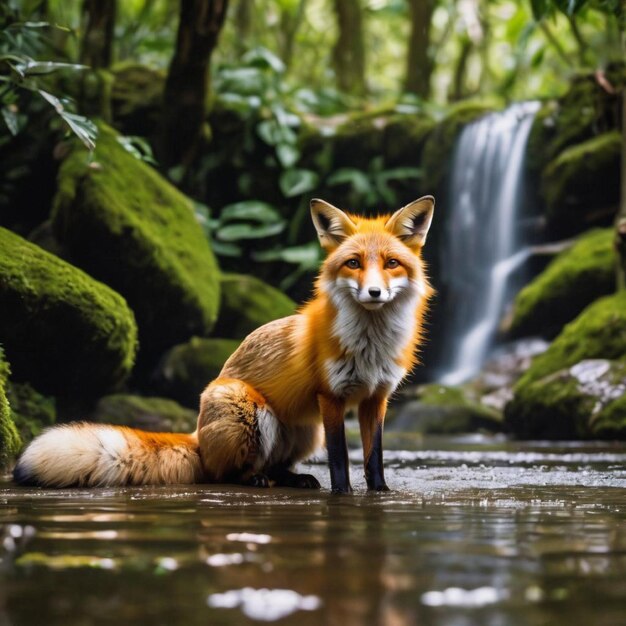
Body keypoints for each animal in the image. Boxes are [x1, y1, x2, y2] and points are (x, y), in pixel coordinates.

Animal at [13, 195, 434, 492]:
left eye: (391, 263)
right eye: (353, 264)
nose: (375, 293)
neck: (371, 347)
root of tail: (197, 435)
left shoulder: (376, 397)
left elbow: (374, 455)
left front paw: (380, 492)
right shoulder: (331, 396)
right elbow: (340, 458)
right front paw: (343, 495)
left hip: (303, 429)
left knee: (276, 465)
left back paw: (292, 478)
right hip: (248, 408)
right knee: (224, 473)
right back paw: (254, 480)